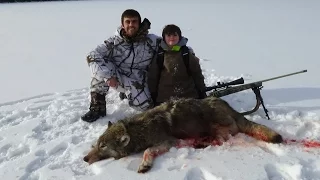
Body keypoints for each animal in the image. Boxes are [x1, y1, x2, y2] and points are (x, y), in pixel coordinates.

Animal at [83, 96, 282, 172]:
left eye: (103, 146)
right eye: (97, 144)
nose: (84, 159)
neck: (139, 129)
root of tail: (229, 107)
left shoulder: (168, 142)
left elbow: (148, 151)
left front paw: (145, 165)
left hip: (215, 124)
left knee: (223, 139)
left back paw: (203, 143)